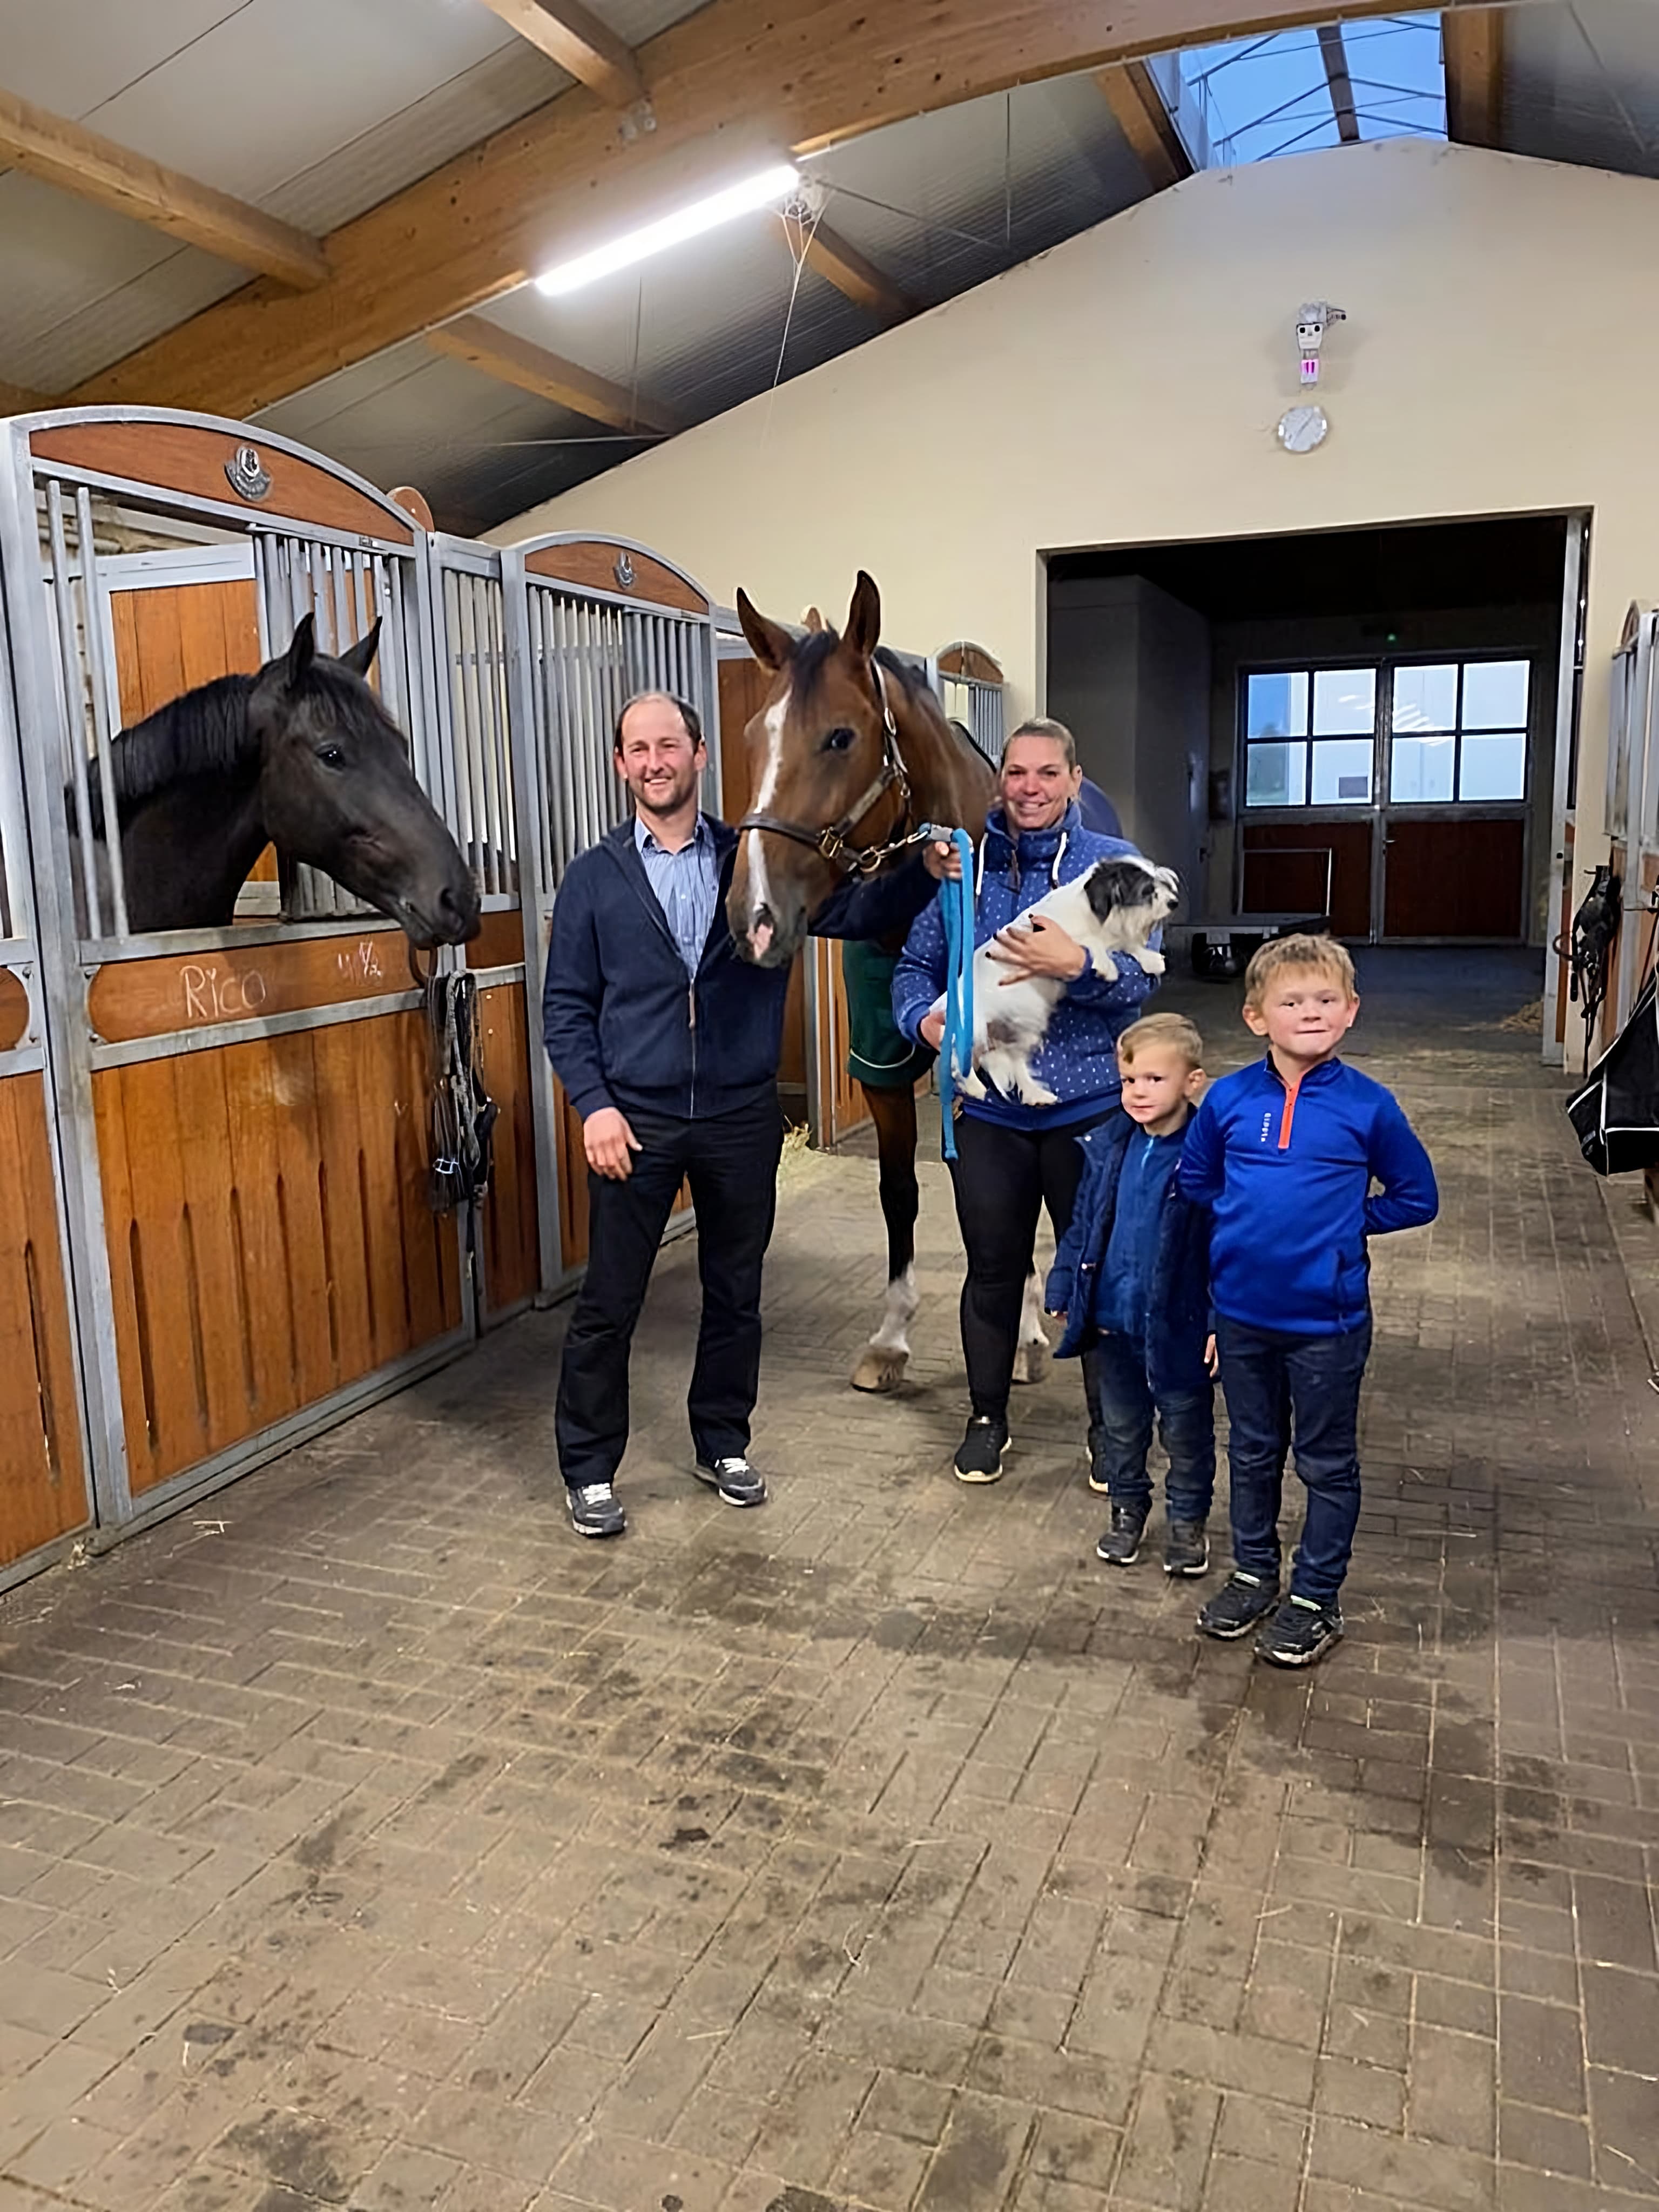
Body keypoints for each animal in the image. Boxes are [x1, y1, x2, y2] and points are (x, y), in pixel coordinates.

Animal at [725, 570, 1053, 1398]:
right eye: (752, 738)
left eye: (841, 736)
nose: (753, 916)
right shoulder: (881, 1069)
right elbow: (900, 1191)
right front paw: (891, 1339)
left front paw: (1025, 1333)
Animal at [947, 858, 1185, 1106]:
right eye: (1147, 890)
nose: (1174, 903)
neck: (1093, 915)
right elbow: (1091, 942)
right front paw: (1107, 967)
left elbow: (1126, 944)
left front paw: (1151, 960)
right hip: (975, 1024)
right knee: (956, 1053)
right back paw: (973, 1086)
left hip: (1024, 1029)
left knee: (1016, 1062)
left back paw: (1036, 1095)